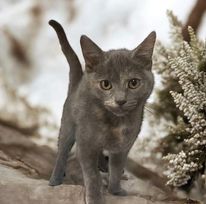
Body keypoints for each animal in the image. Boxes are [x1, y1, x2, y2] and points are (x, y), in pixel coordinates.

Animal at [49, 20, 155, 204]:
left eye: (133, 83)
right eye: (106, 84)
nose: (120, 100)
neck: (115, 123)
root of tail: (79, 81)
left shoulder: (124, 146)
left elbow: (117, 167)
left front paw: (116, 190)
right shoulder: (85, 145)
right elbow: (92, 176)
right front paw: (95, 197)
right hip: (68, 125)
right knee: (62, 151)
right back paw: (55, 179)